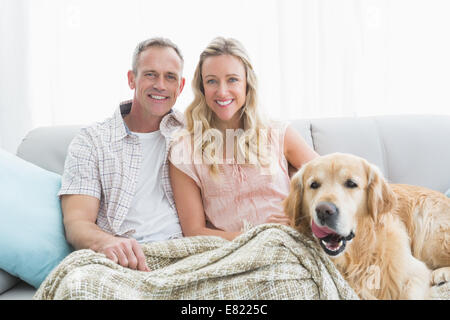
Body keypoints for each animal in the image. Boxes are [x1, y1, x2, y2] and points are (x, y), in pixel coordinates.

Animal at [286, 153, 448, 300]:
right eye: (314, 185)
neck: (359, 253)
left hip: (431, 238)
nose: (323, 210)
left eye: (351, 183)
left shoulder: (415, 273)